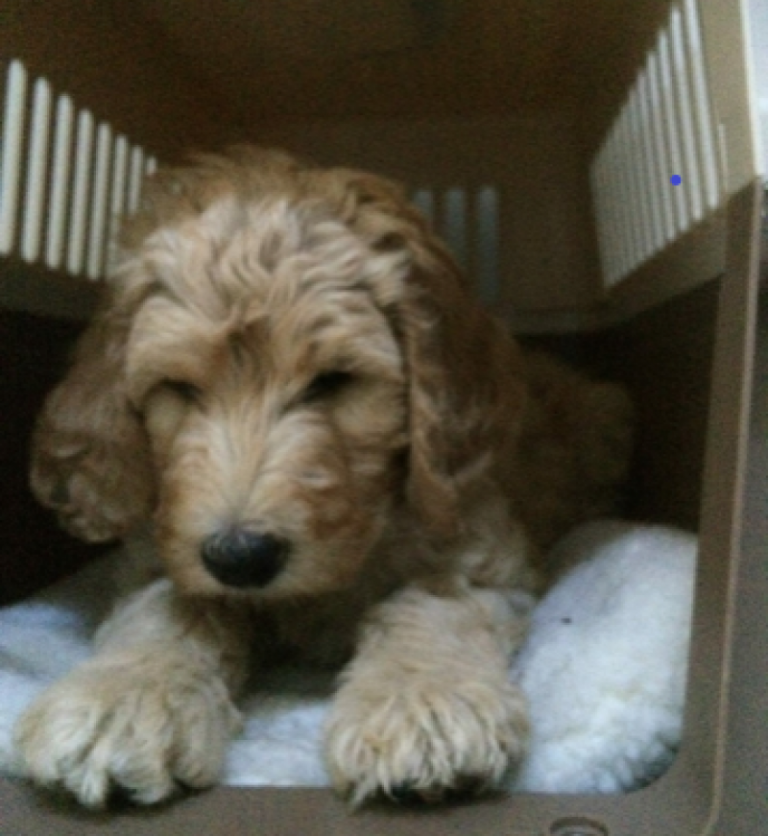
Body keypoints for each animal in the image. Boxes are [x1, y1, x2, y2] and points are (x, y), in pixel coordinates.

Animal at [15, 147, 632, 808]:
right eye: (178, 388)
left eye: (334, 381)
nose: (240, 558)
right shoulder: (160, 548)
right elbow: (170, 606)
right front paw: (122, 699)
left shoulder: (481, 546)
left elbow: (432, 602)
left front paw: (422, 702)